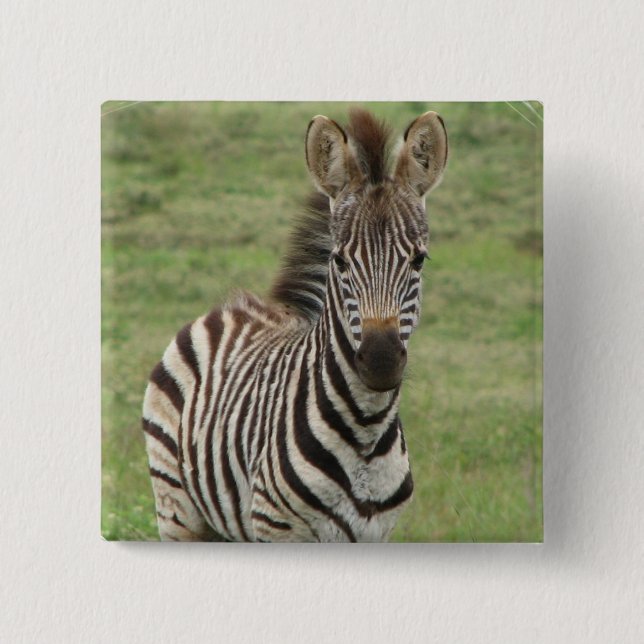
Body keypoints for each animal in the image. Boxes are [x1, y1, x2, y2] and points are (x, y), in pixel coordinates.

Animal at [142, 108, 448, 542]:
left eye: (419, 260)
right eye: (339, 260)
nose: (381, 361)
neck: (366, 432)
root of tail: (233, 306)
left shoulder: (377, 532)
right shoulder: (278, 528)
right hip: (177, 509)